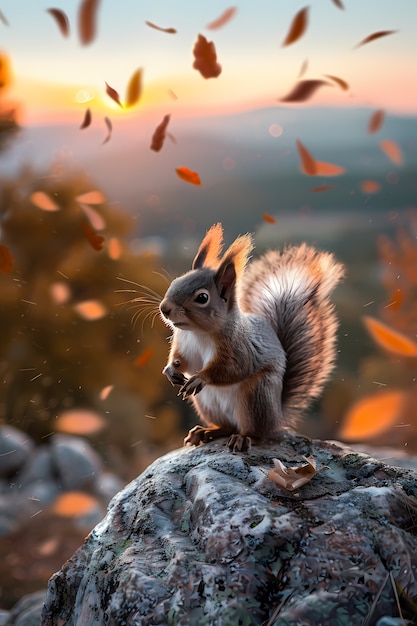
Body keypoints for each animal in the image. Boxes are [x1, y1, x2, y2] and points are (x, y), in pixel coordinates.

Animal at [158, 222, 342, 450]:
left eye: (202, 298)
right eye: (176, 281)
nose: (165, 308)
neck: (198, 333)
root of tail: (278, 418)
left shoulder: (239, 347)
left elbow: (233, 368)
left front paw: (200, 377)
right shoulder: (184, 343)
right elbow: (183, 360)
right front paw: (170, 370)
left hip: (256, 397)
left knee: (257, 433)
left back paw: (244, 438)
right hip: (207, 404)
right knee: (227, 426)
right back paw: (205, 431)